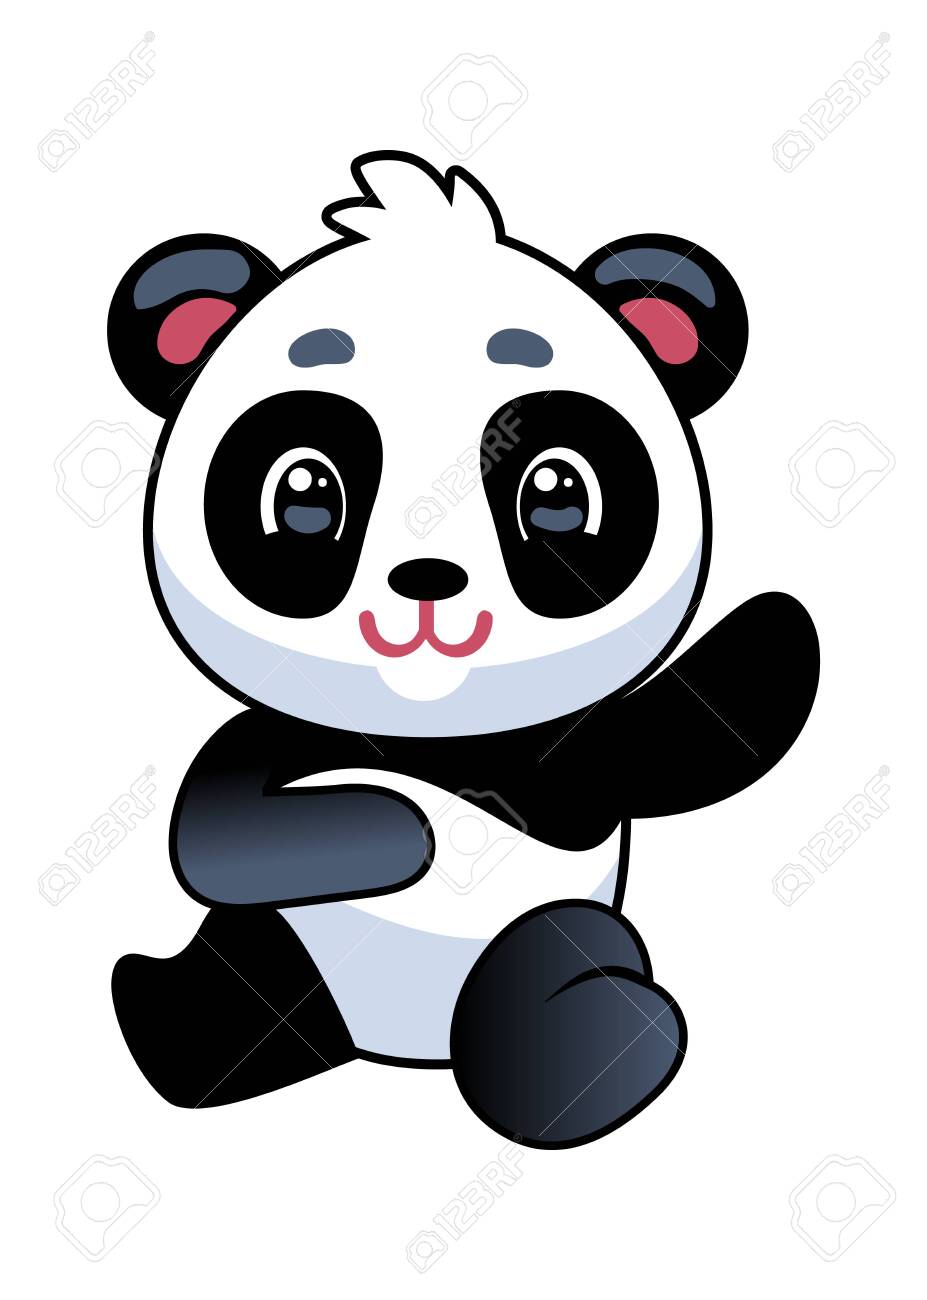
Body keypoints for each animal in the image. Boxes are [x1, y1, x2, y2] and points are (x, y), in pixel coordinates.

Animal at [108, 151, 819, 1149]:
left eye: (556, 490)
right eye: (304, 492)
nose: (427, 579)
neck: (437, 743)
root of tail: (390, 1048)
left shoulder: (568, 753)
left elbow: (684, 740)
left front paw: (777, 627)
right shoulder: (269, 739)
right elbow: (215, 835)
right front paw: (398, 827)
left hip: (530, 945)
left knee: (544, 978)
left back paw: (603, 1047)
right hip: (280, 950)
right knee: (230, 994)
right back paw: (158, 1006)